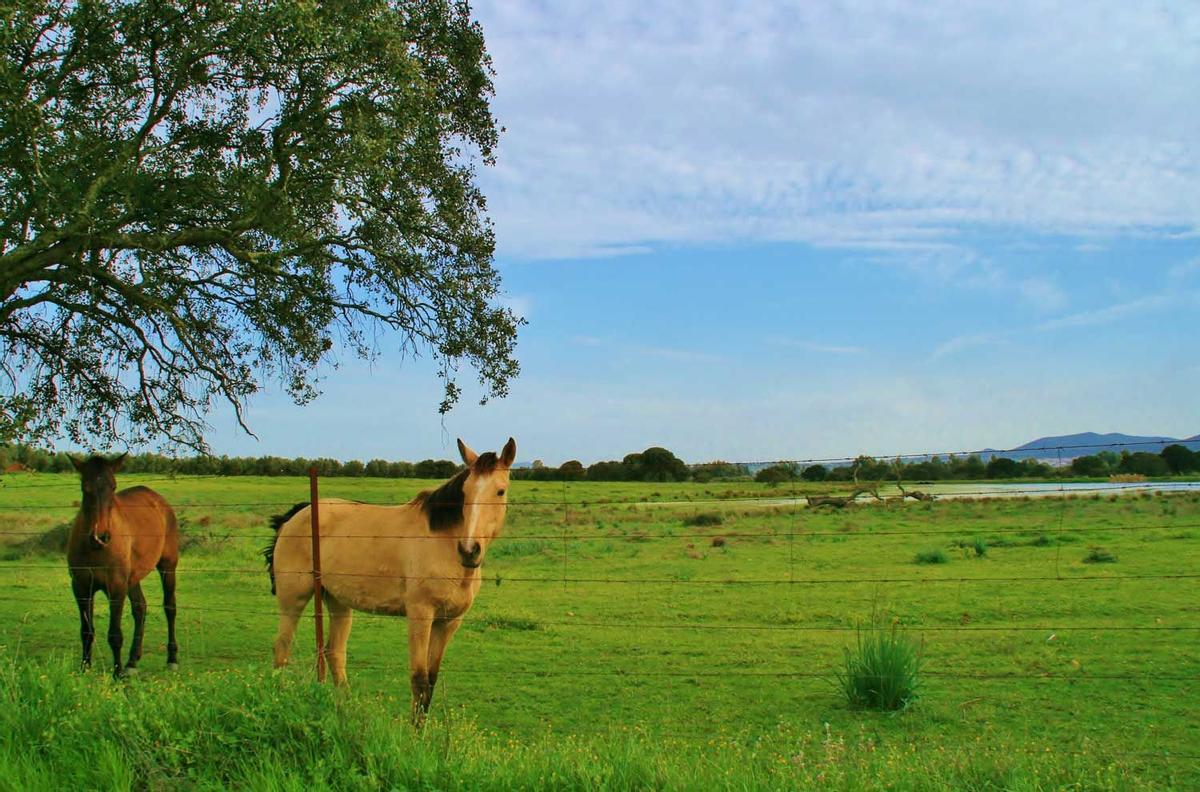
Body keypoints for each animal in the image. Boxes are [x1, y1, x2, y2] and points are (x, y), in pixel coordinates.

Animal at [265, 436, 513, 724]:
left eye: (500, 491)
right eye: (465, 492)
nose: (469, 550)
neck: (443, 542)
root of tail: (296, 516)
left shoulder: (449, 622)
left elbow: (431, 680)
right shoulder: (420, 615)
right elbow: (419, 679)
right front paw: (414, 733)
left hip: (338, 602)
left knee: (334, 652)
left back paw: (347, 711)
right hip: (293, 600)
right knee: (282, 648)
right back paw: (280, 700)